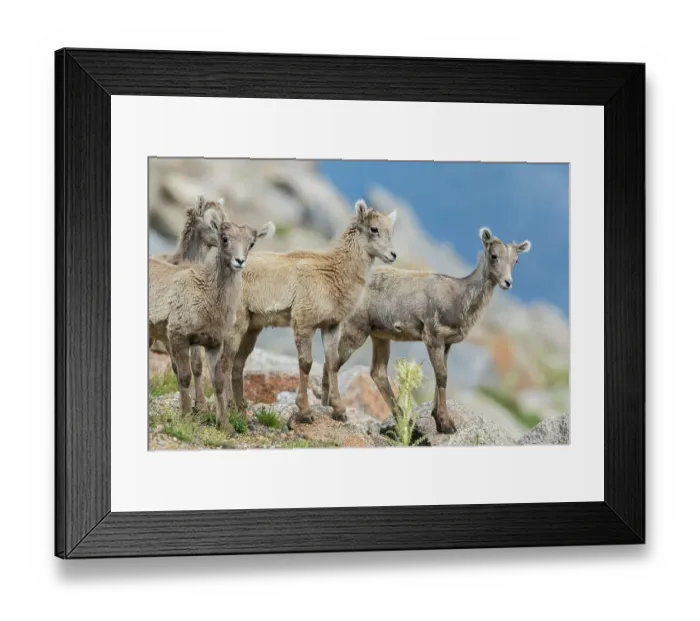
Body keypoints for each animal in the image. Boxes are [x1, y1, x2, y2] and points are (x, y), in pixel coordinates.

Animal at [149, 218, 275, 432]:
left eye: (251, 243)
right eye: (224, 238)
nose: (239, 261)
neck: (207, 295)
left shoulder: (213, 344)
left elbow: (218, 382)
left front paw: (225, 426)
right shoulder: (178, 336)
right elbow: (184, 376)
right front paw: (186, 416)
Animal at [223, 199, 398, 425]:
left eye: (390, 230)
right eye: (374, 229)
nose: (392, 255)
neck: (333, 273)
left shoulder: (331, 327)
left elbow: (332, 364)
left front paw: (339, 411)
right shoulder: (304, 323)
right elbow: (306, 364)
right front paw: (305, 413)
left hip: (252, 329)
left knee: (237, 364)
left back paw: (241, 411)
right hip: (237, 324)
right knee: (225, 362)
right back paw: (229, 409)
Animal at [322, 227, 531, 434]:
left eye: (516, 260)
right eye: (494, 255)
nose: (507, 282)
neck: (459, 298)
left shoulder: (446, 343)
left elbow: (442, 375)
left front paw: (438, 419)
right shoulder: (433, 337)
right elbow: (442, 376)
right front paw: (447, 425)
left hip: (379, 335)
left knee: (377, 372)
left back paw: (399, 418)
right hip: (356, 329)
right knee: (334, 361)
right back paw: (336, 410)